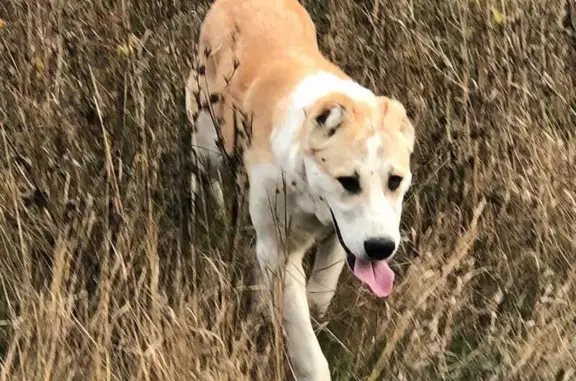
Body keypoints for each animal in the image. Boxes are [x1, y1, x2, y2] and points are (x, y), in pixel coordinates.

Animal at [184, 0, 414, 378]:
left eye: (394, 181)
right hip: (208, 144)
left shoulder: (339, 238)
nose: (381, 248)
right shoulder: (280, 251)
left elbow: (319, 293)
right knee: (203, 171)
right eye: (348, 182)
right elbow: (305, 344)